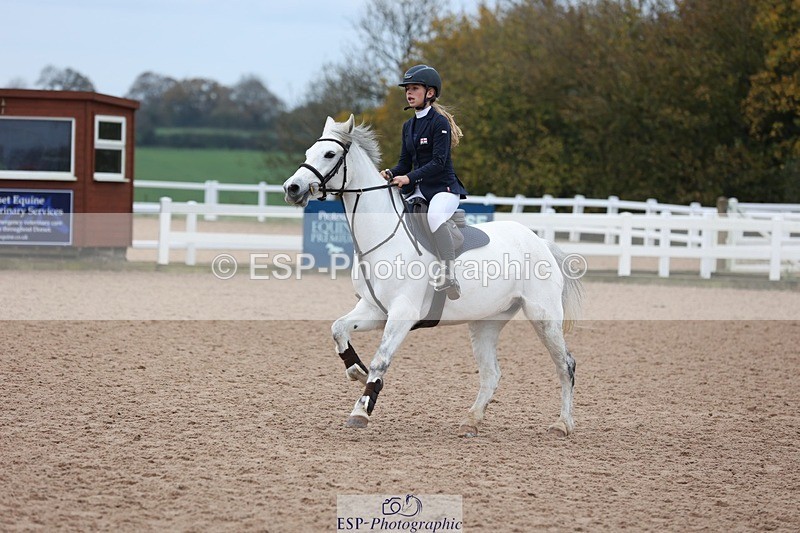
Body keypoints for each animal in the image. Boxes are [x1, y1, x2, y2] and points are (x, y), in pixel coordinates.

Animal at [283, 115, 583, 437]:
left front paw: (361, 410)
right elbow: (338, 329)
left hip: (544, 316)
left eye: (329, 154)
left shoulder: (403, 313)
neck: (382, 237)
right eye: (308, 153)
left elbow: (380, 361)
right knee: (491, 373)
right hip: (486, 322)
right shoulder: (374, 309)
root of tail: (540, 241)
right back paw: (471, 421)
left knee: (565, 365)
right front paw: (355, 370)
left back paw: (562, 424)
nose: (292, 188)